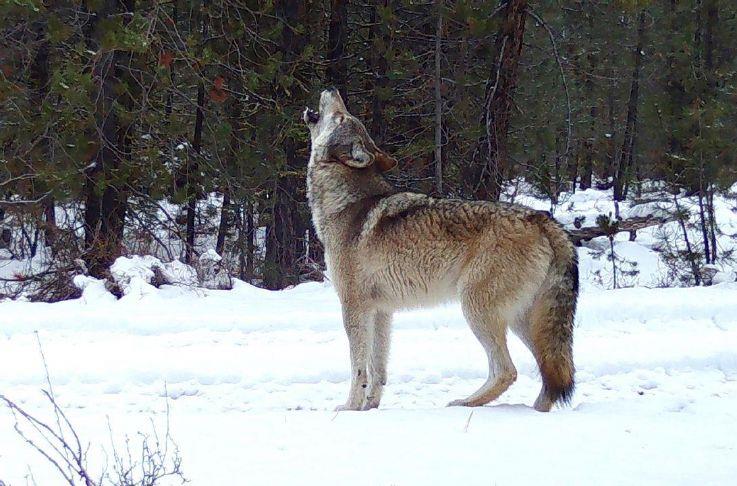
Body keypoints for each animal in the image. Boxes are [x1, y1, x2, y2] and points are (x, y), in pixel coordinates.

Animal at [304, 88, 577, 412]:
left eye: (341, 116)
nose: (331, 89)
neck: (345, 204)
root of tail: (541, 219)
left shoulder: (354, 306)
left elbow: (359, 368)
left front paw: (349, 408)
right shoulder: (381, 311)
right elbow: (377, 368)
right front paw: (371, 407)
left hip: (476, 308)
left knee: (507, 371)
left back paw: (464, 403)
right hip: (524, 321)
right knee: (551, 373)